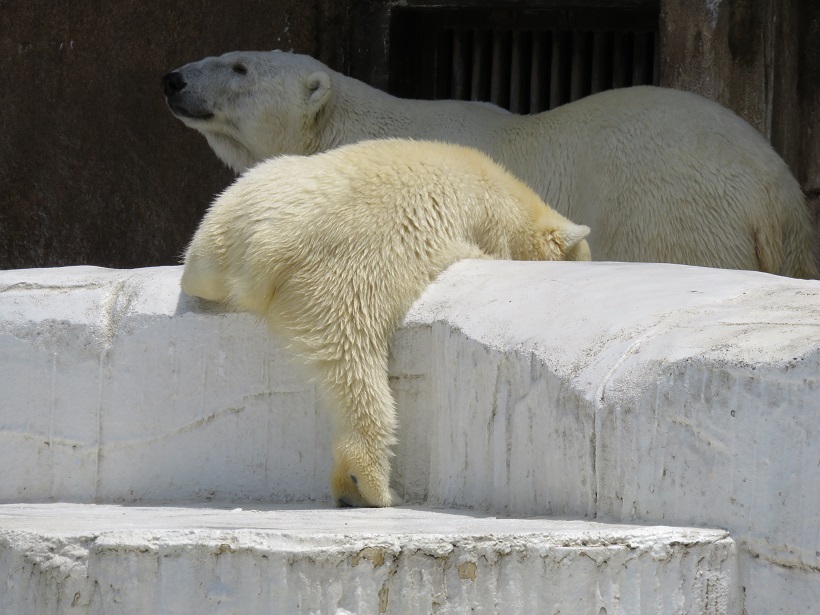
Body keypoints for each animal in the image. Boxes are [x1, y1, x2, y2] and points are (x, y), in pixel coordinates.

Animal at [181, 141, 588, 510]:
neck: (505, 193)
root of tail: (260, 248)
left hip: (228, 217)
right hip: (354, 269)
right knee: (355, 360)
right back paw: (367, 486)